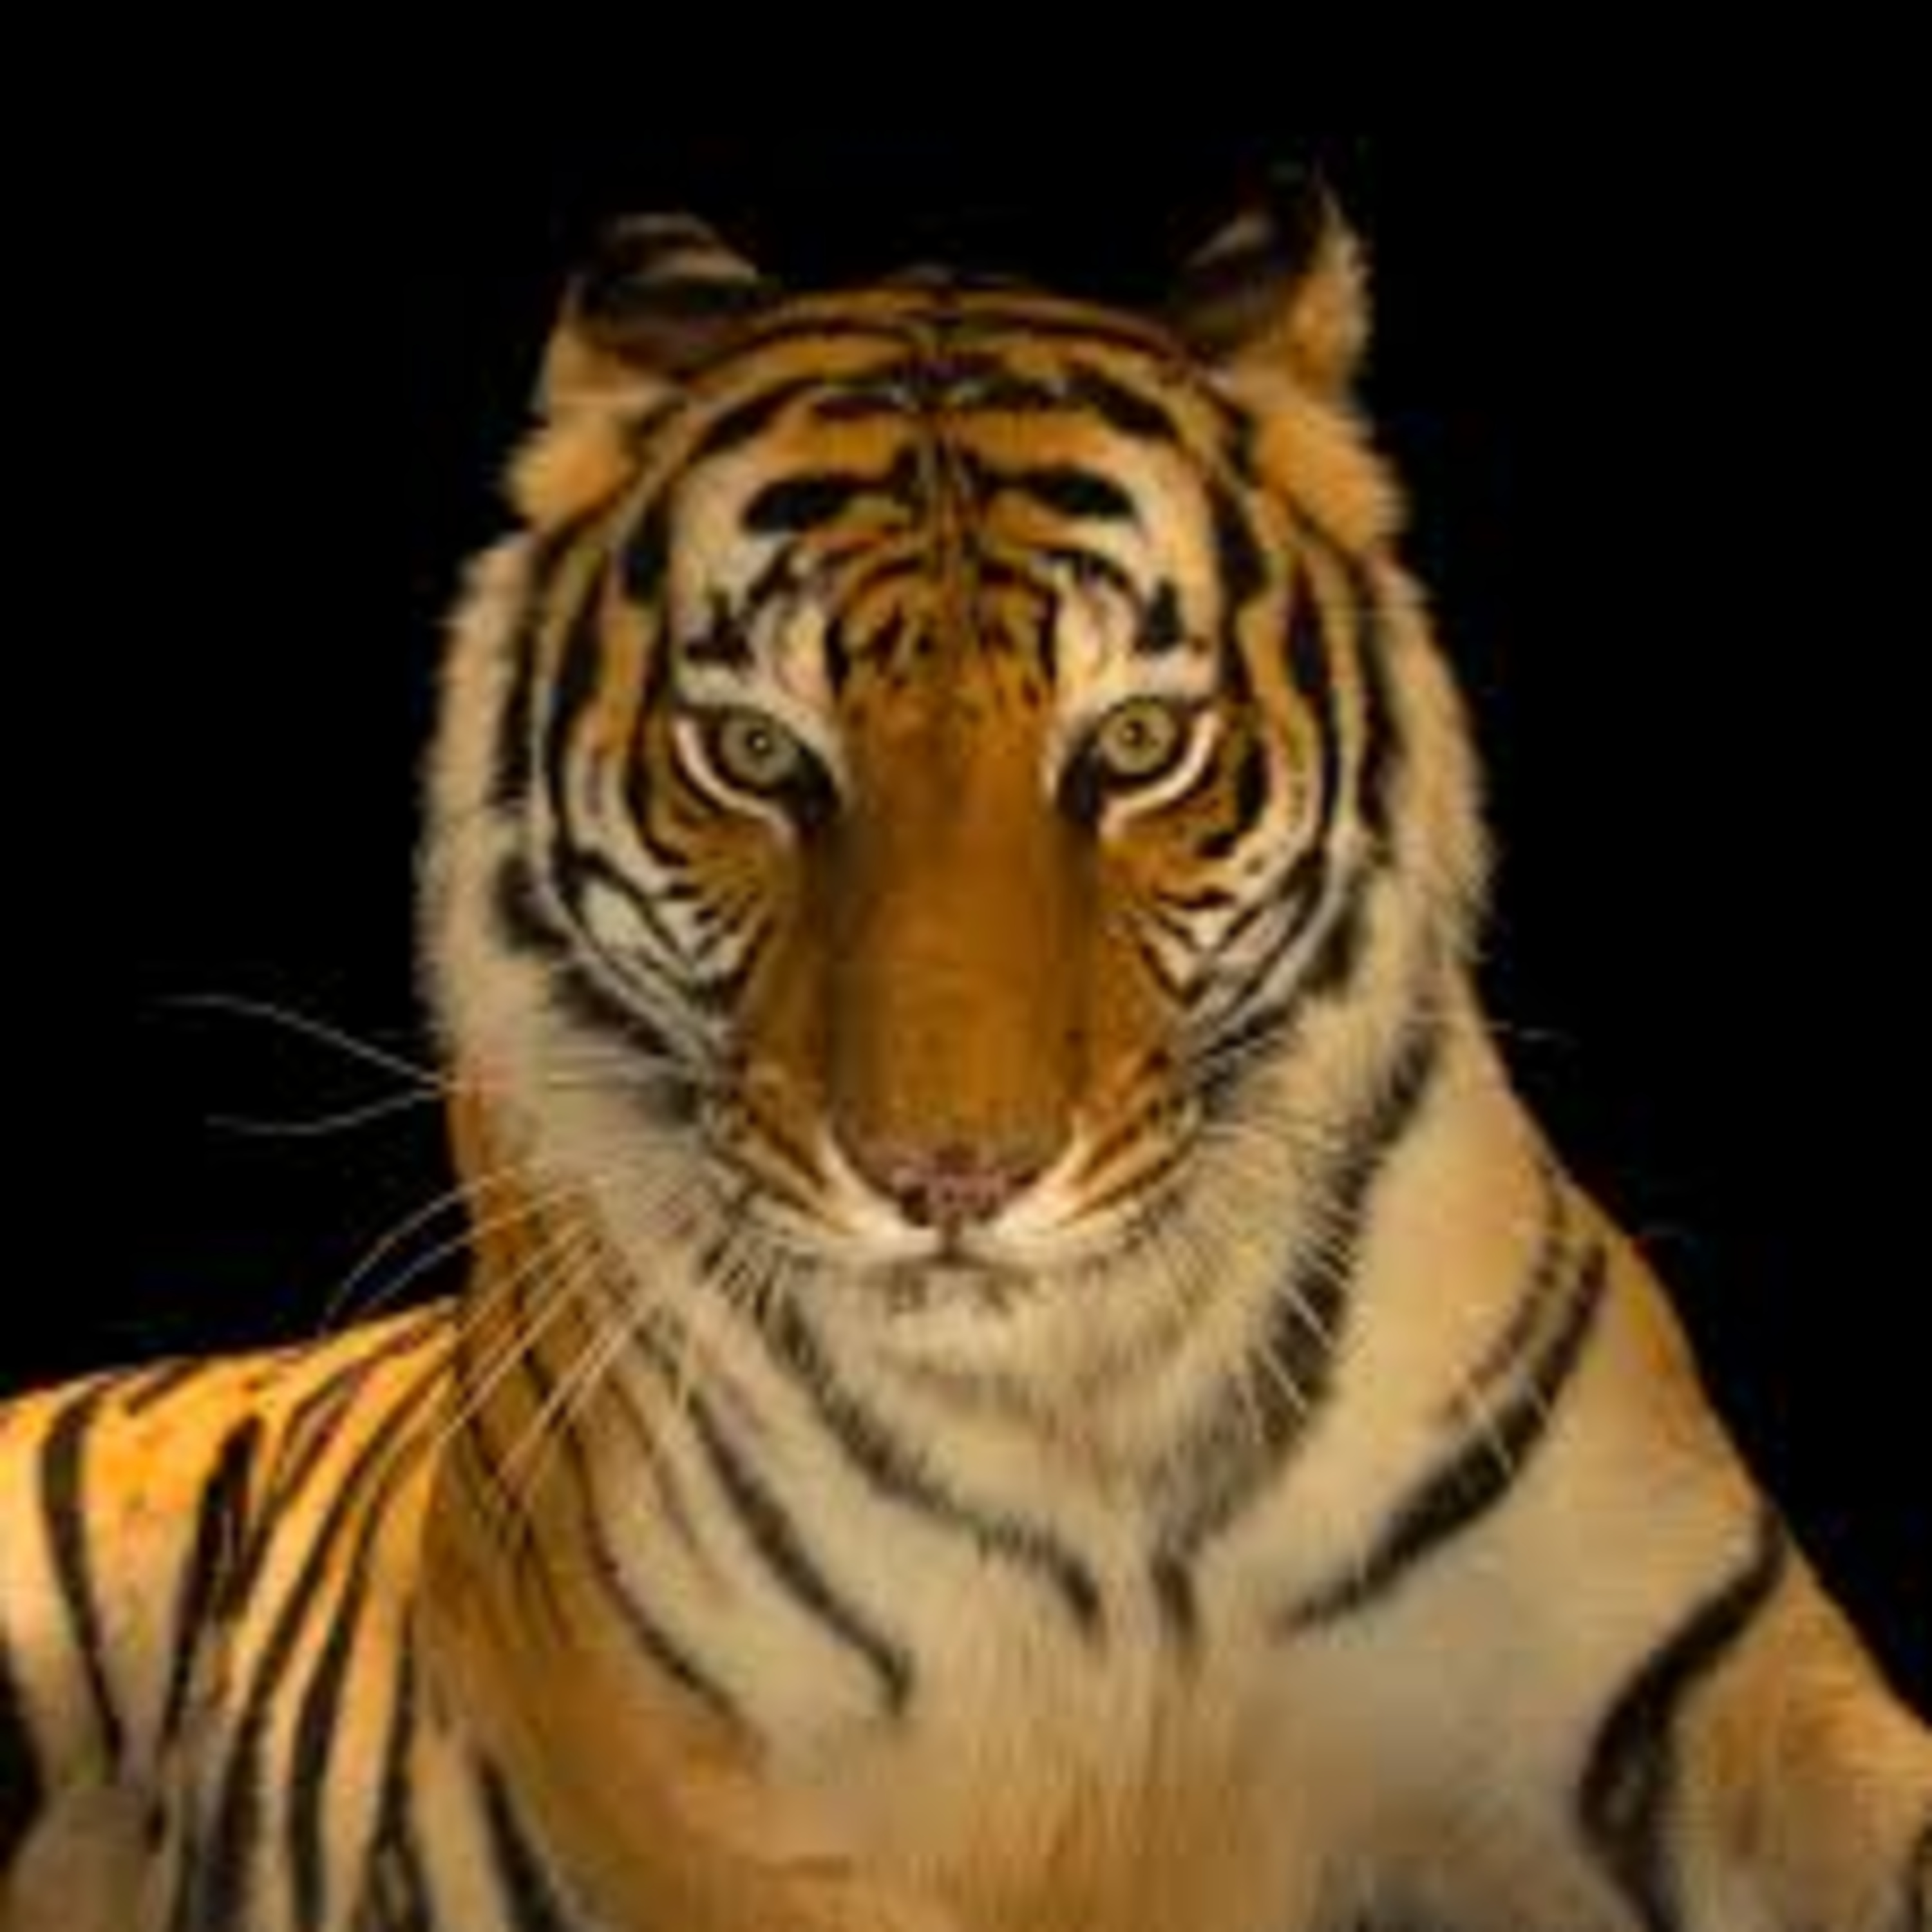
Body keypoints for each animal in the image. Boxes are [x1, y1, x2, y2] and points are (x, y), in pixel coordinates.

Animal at [3, 175, 1927, 1932]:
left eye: (1137, 746)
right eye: (756, 756)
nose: (951, 1178)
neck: (1087, 1415)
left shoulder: (1707, 1672)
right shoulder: (699, 1777)